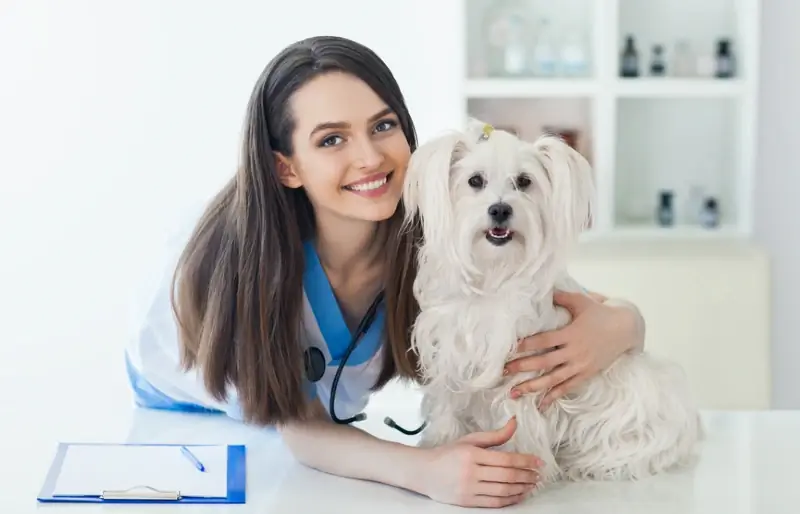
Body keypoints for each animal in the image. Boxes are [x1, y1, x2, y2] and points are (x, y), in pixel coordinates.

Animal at [404, 118, 696, 486]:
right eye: (475, 181)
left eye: (524, 182)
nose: (500, 209)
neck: (493, 275)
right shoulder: (450, 356)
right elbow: (446, 406)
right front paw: (441, 447)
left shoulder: (522, 373)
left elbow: (515, 419)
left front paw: (521, 469)